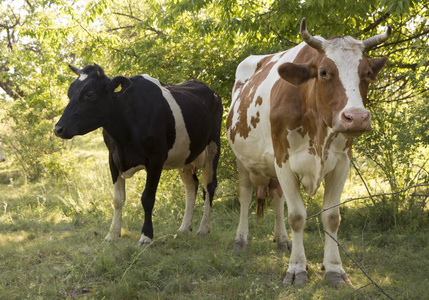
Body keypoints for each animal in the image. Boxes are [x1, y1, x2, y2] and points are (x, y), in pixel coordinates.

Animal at [54, 64, 222, 245]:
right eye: (69, 93)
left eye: (89, 94)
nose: (58, 129)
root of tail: (209, 89)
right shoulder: (113, 158)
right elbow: (117, 199)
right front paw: (112, 234)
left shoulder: (156, 159)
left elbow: (147, 198)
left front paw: (146, 236)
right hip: (185, 155)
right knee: (191, 186)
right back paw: (184, 228)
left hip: (214, 145)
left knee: (209, 185)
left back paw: (203, 228)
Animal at [227, 18, 392, 286]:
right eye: (324, 72)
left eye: (367, 73)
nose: (356, 117)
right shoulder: (283, 161)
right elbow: (297, 216)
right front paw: (297, 268)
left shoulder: (341, 163)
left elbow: (331, 217)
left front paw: (334, 269)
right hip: (242, 159)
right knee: (245, 196)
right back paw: (241, 240)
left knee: (277, 197)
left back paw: (283, 240)